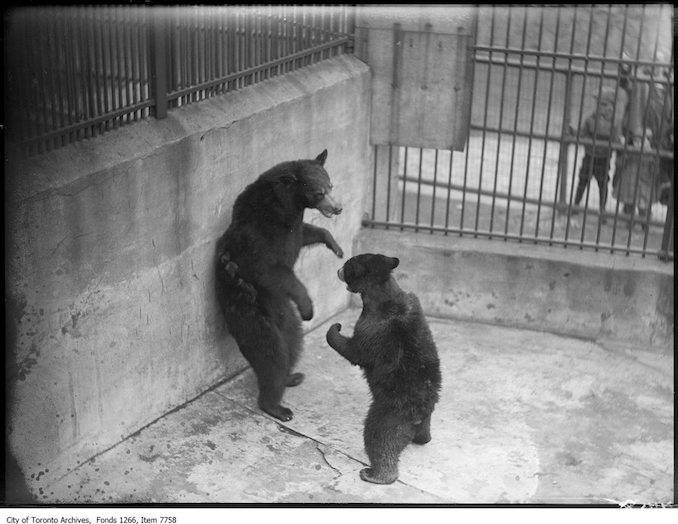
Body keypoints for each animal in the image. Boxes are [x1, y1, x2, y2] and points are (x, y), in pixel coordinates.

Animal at [218, 150, 346, 422]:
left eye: (331, 186)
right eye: (319, 192)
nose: (339, 208)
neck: (283, 208)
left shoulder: (293, 227)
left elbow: (308, 233)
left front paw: (336, 246)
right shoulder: (258, 238)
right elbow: (271, 271)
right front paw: (308, 308)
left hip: (286, 317)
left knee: (293, 343)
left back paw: (292, 376)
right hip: (250, 313)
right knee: (271, 354)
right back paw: (276, 406)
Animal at [326, 254, 444, 484]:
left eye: (347, 265)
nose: (337, 270)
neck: (385, 295)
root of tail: (420, 413)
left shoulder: (372, 327)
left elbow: (355, 350)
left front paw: (335, 328)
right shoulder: (413, 302)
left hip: (389, 416)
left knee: (378, 438)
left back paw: (375, 473)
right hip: (426, 418)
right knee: (423, 433)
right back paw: (423, 438)